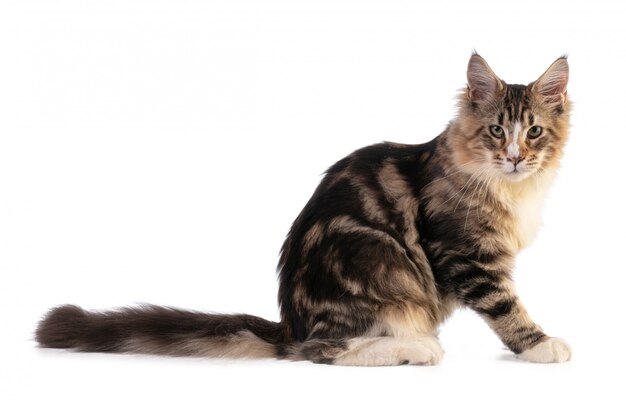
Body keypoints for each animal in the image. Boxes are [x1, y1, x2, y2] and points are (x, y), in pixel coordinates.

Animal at [35, 54, 572, 368]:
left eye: (534, 132)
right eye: (497, 131)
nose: (516, 156)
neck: (508, 186)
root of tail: (288, 322)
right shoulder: (466, 256)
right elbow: (506, 308)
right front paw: (542, 344)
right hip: (380, 268)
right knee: (322, 351)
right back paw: (418, 348)